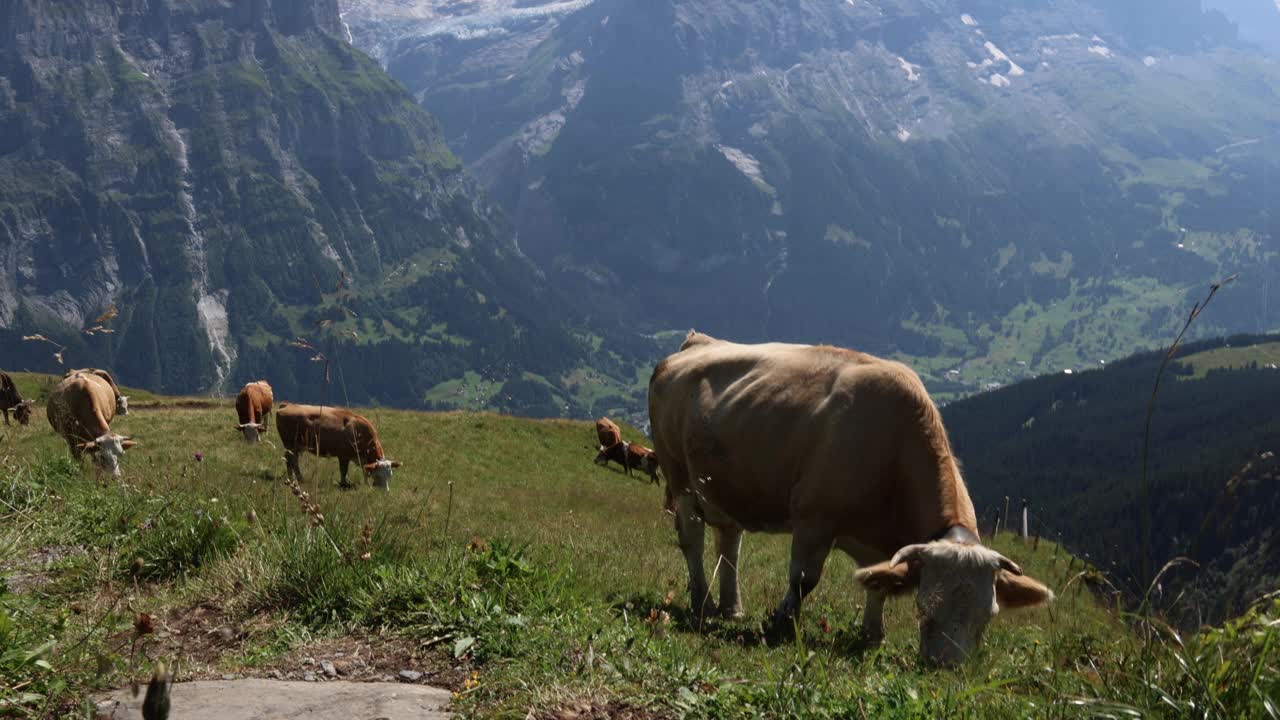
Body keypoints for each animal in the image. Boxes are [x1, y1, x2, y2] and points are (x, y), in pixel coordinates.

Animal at [650, 333, 1049, 666]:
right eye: (923, 608)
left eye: (988, 616)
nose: (946, 668)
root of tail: (697, 341)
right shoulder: (814, 517)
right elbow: (804, 579)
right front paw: (782, 624)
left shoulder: (879, 544)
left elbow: (877, 583)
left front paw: (874, 636)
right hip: (680, 478)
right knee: (692, 540)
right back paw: (703, 604)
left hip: (727, 486)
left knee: (729, 542)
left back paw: (732, 608)